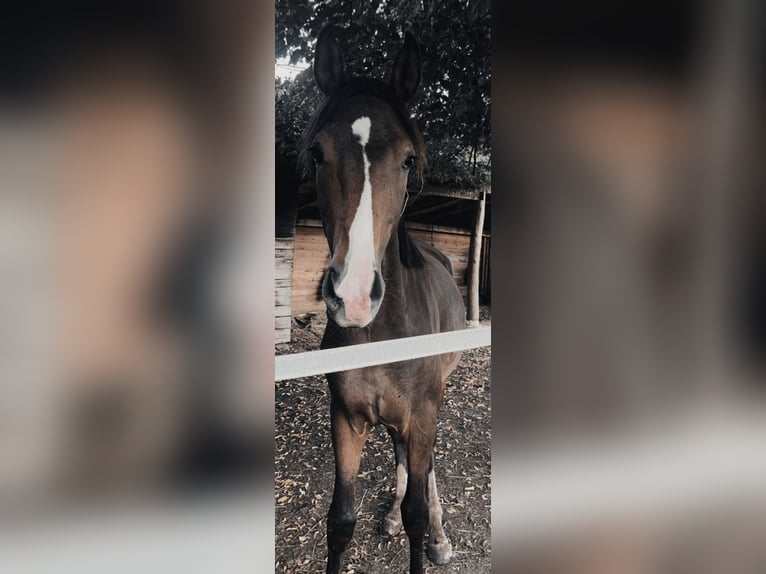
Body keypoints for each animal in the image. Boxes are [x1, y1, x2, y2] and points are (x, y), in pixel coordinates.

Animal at [304, 25, 464, 574]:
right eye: (316, 153)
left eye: (409, 159)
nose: (352, 297)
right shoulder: (346, 419)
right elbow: (339, 523)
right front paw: (389, 516)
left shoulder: (423, 413)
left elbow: (418, 508)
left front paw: (427, 532)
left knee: (425, 465)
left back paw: (439, 534)